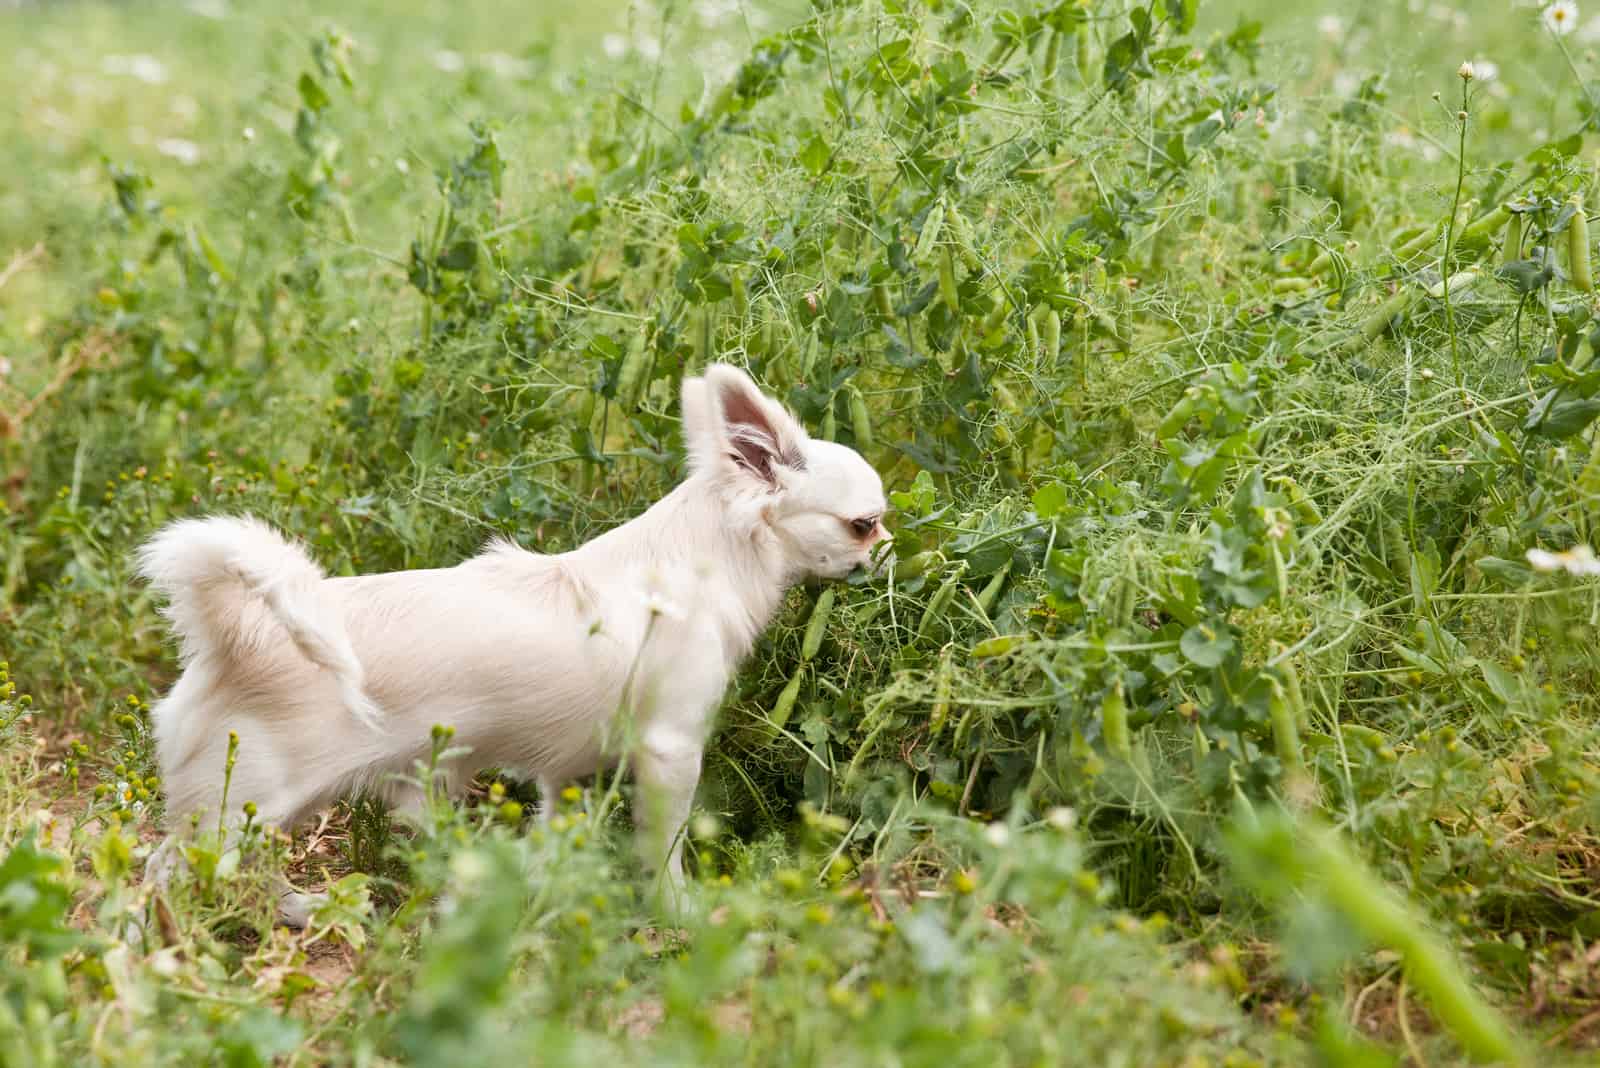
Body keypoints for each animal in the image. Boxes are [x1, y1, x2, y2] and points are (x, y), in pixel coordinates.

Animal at [136, 362, 889, 920]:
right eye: (862, 524)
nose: (890, 550)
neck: (701, 561)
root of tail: (238, 635)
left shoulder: (568, 773)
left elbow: (559, 831)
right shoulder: (671, 749)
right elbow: (665, 846)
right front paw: (678, 915)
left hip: (267, 807)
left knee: (240, 871)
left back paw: (301, 908)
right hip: (242, 804)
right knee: (164, 873)